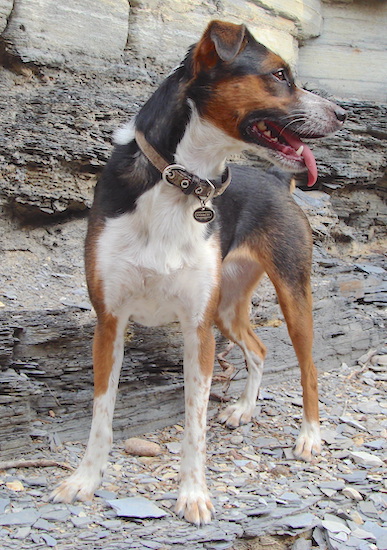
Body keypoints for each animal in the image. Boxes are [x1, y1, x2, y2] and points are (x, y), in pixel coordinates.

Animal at [50, 20, 346, 528]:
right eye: (280, 74)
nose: (342, 114)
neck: (181, 183)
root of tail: (275, 179)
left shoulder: (197, 329)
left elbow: (194, 423)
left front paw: (193, 495)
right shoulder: (111, 322)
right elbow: (101, 415)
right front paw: (85, 480)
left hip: (291, 294)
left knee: (307, 369)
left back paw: (309, 436)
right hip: (226, 307)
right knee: (259, 349)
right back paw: (244, 409)